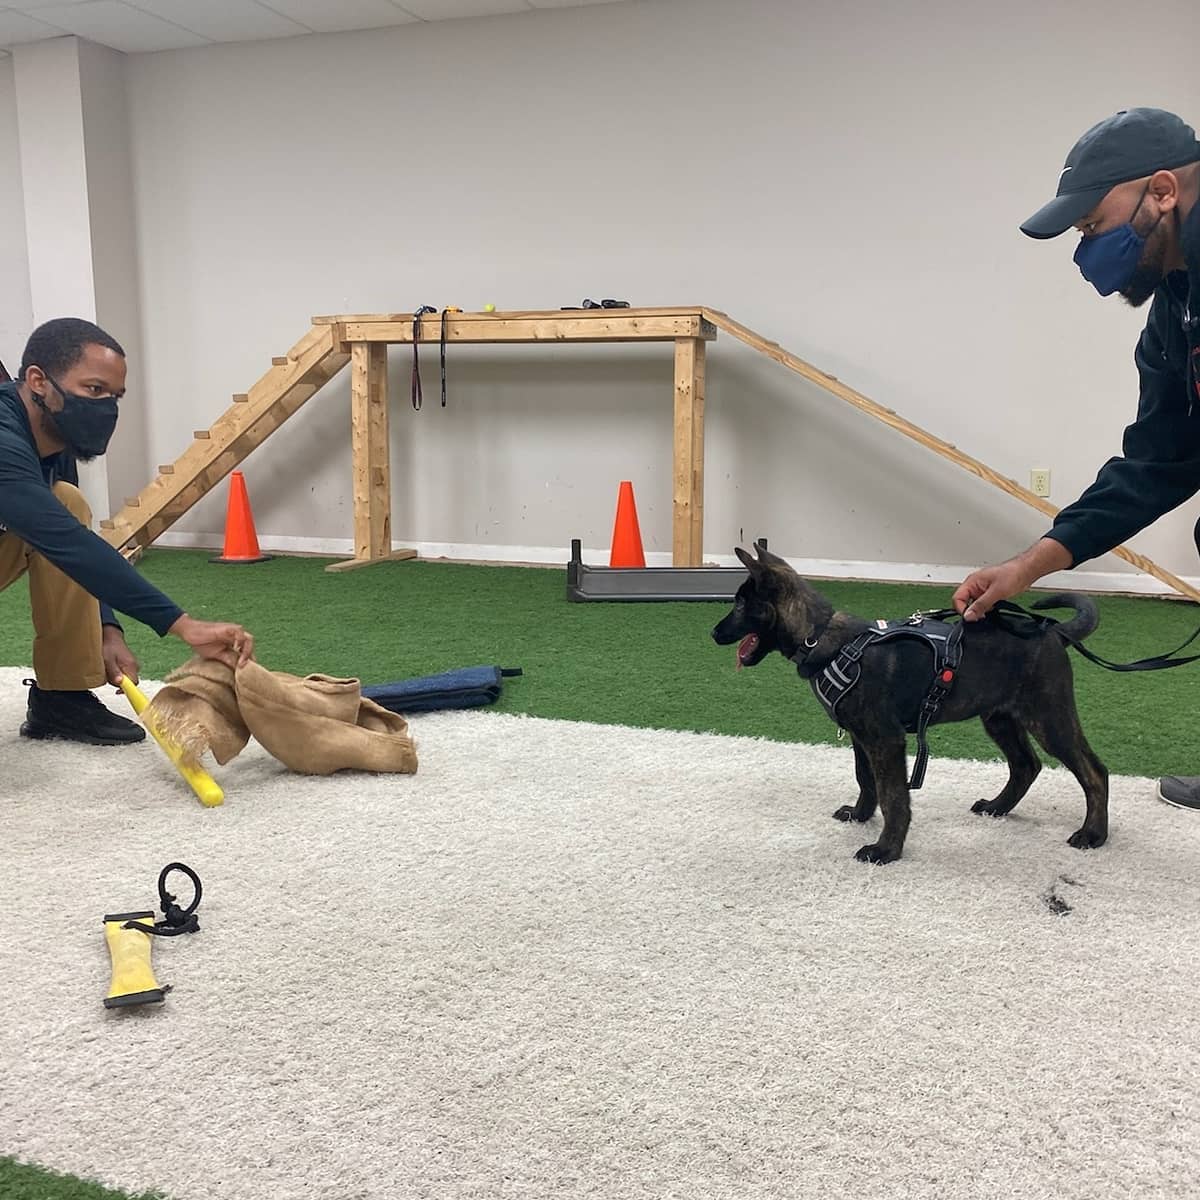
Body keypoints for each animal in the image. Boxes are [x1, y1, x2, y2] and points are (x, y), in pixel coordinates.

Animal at [711, 544, 1108, 864]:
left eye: (741, 604)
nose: (713, 633)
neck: (820, 637)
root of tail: (1054, 631)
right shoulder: (861, 737)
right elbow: (866, 780)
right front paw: (860, 815)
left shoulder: (885, 740)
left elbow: (893, 796)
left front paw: (886, 849)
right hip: (1000, 718)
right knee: (1026, 765)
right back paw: (997, 808)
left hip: (1049, 718)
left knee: (1094, 771)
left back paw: (1093, 835)